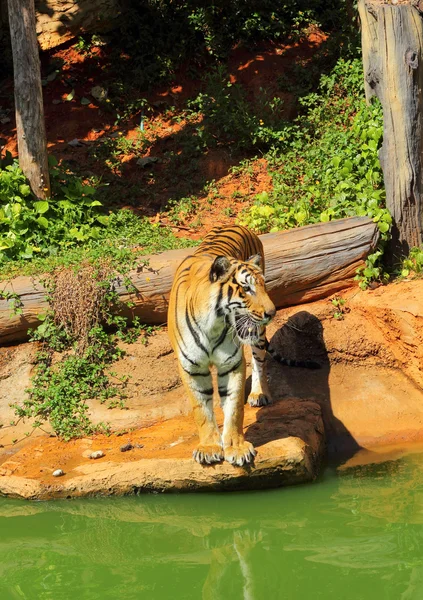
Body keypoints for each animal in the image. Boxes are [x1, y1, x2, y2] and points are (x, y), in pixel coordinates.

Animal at [167, 223, 276, 466]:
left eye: (263, 287)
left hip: (256, 334)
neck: (213, 325)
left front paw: (236, 447)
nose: (272, 313)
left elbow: (234, 408)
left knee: (259, 360)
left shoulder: (231, 363)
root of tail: (238, 224)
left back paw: (258, 393)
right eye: (247, 289)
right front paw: (209, 448)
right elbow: (201, 410)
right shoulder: (192, 367)